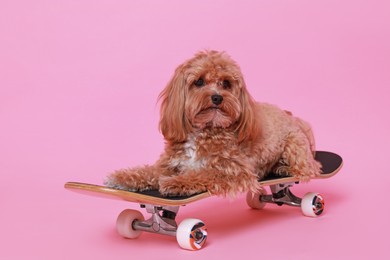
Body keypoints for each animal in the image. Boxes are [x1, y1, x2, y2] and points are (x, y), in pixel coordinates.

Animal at [103, 50, 320, 197]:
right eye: (198, 81)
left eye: (226, 83)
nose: (217, 97)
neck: (204, 131)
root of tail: (290, 115)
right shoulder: (169, 165)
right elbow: (147, 171)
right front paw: (121, 177)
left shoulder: (236, 172)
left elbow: (204, 174)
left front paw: (176, 182)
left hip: (294, 145)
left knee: (311, 167)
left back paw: (285, 168)